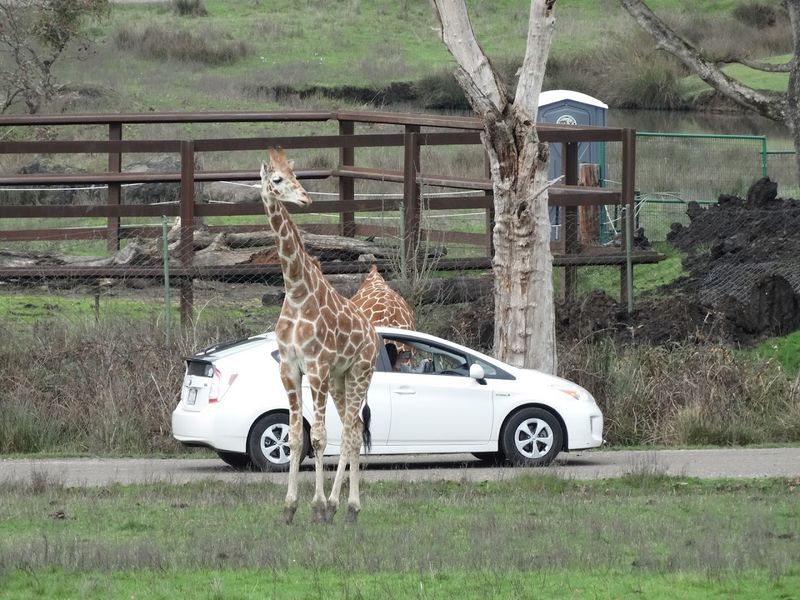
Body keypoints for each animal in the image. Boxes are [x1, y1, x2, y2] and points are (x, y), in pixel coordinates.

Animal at [259, 148, 379, 525]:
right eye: (277, 179)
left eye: (296, 176)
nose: (305, 198)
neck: (297, 292)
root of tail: (374, 334)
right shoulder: (289, 368)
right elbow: (297, 438)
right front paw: (289, 507)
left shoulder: (317, 367)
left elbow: (321, 439)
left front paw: (317, 506)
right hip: (342, 380)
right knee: (354, 427)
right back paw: (342, 505)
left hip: (359, 373)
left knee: (353, 433)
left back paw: (348, 507)